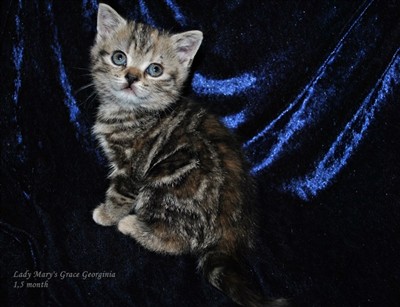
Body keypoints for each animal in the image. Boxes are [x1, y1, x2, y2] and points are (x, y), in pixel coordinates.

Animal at [90, 3, 288, 307]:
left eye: (155, 69)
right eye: (119, 57)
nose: (131, 77)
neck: (131, 112)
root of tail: (231, 230)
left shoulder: (134, 166)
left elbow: (120, 193)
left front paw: (109, 214)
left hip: (167, 181)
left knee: (179, 242)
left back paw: (132, 225)